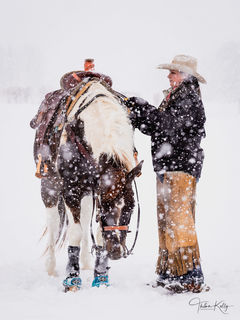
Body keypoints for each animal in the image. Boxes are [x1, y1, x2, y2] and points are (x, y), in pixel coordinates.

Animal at [33, 77, 142, 290]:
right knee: (53, 223)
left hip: (86, 193)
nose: (116, 251)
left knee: (84, 221)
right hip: (50, 186)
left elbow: (98, 234)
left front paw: (100, 277)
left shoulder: (93, 192)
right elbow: (75, 233)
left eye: (131, 207)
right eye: (105, 206)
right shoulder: (71, 191)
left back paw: (85, 262)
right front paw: (71, 280)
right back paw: (51, 266)